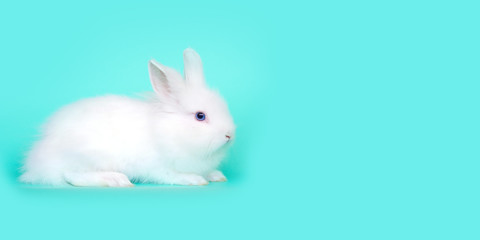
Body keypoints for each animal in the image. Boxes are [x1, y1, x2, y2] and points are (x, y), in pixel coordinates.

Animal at [19, 48, 235, 188]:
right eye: (200, 116)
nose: (229, 135)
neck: (170, 130)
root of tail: (39, 159)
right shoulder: (158, 167)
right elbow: (172, 176)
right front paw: (195, 180)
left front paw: (216, 175)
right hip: (88, 155)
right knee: (71, 175)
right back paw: (116, 180)